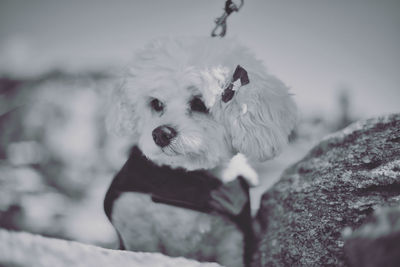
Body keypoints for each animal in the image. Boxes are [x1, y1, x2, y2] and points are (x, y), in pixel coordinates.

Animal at [103, 36, 296, 267]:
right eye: (156, 103)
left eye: (199, 104)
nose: (160, 134)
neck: (186, 181)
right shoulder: (135, 228)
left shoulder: (233, 242)